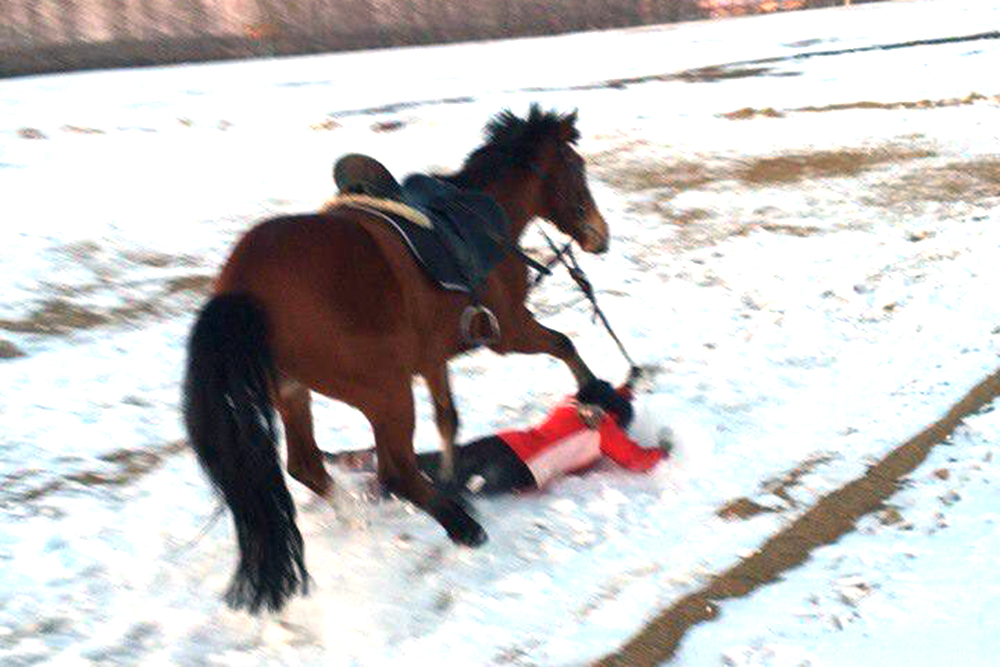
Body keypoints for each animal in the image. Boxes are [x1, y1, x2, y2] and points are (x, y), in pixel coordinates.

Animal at [183, 105, 604, 616]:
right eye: (577, 169)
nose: (599, 236)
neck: (482, 221)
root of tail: (240, 287)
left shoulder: (433, 356)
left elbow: (448, 418)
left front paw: (451, 476)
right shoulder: (508, 331)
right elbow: (563, 345)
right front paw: (592, 393)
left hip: (293, 390)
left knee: (306, 465)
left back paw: (358, 512)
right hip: (384, 391)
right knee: (395, 469)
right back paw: (464, 528)